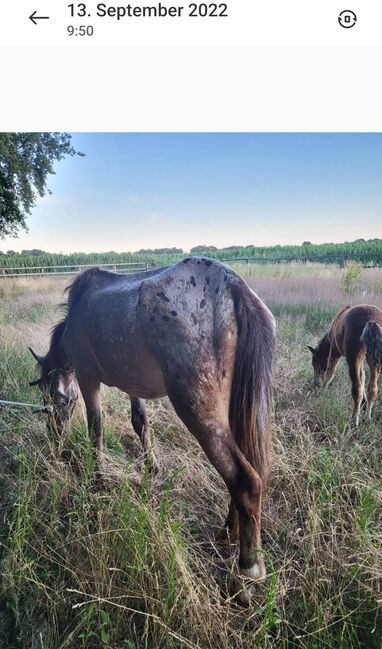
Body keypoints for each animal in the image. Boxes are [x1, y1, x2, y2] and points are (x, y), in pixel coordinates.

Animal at [29, 256, 274, 596]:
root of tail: (232, 285)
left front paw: (97, 478)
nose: (54, 434)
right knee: (248, 470)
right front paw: (152, 468)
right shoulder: (134, 384)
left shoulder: (88, 378)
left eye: (53, 396)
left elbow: (96, 427)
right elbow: (140, 423)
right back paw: (228, 531)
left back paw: (248, 569)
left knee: (244, 480)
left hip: (199, 411)